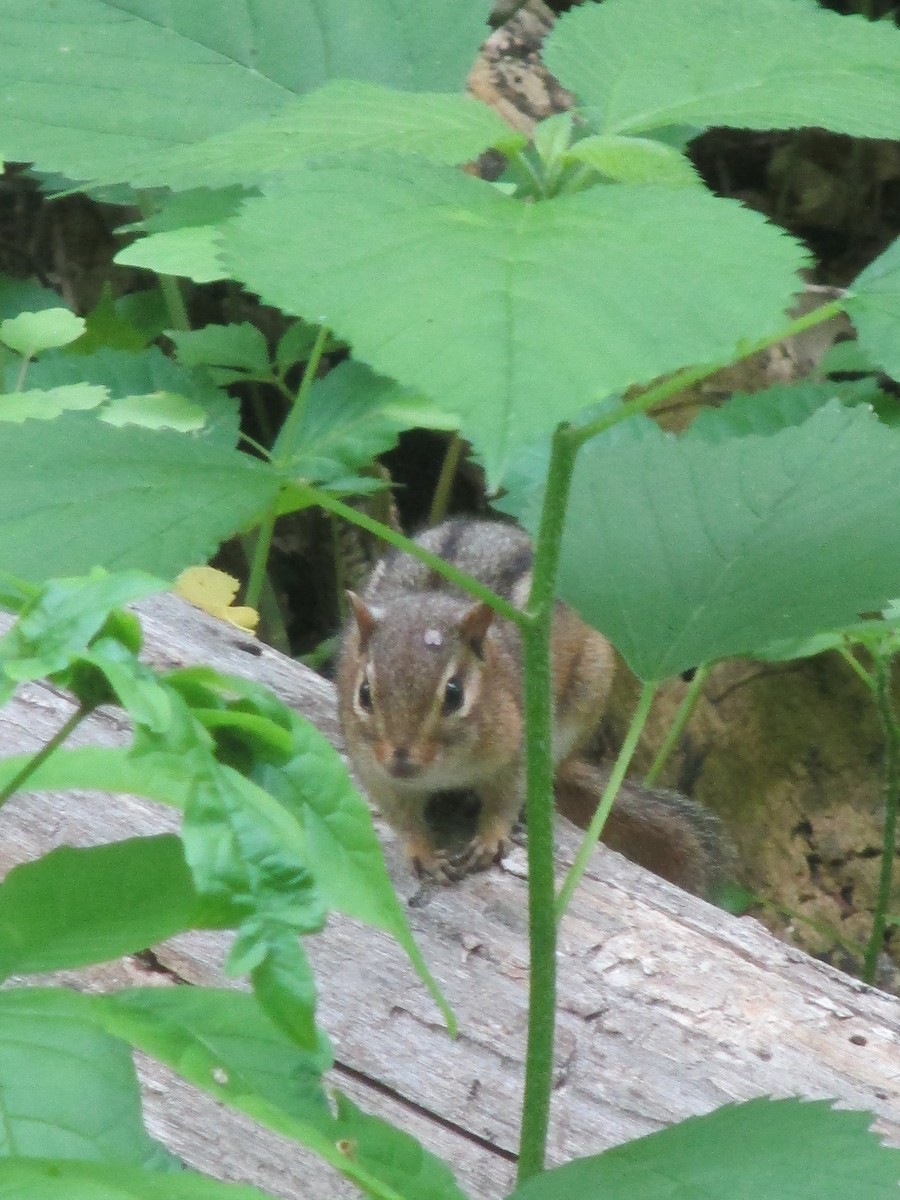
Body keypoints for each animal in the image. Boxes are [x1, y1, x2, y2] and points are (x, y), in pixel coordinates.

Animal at [337, 518, 729, 897]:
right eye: (364, 693)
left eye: (454, 694)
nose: (401, 761)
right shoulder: (375, 773)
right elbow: (402, 819)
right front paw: (423, 853)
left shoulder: (518, 748)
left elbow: (505, 799)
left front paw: (490, 838)